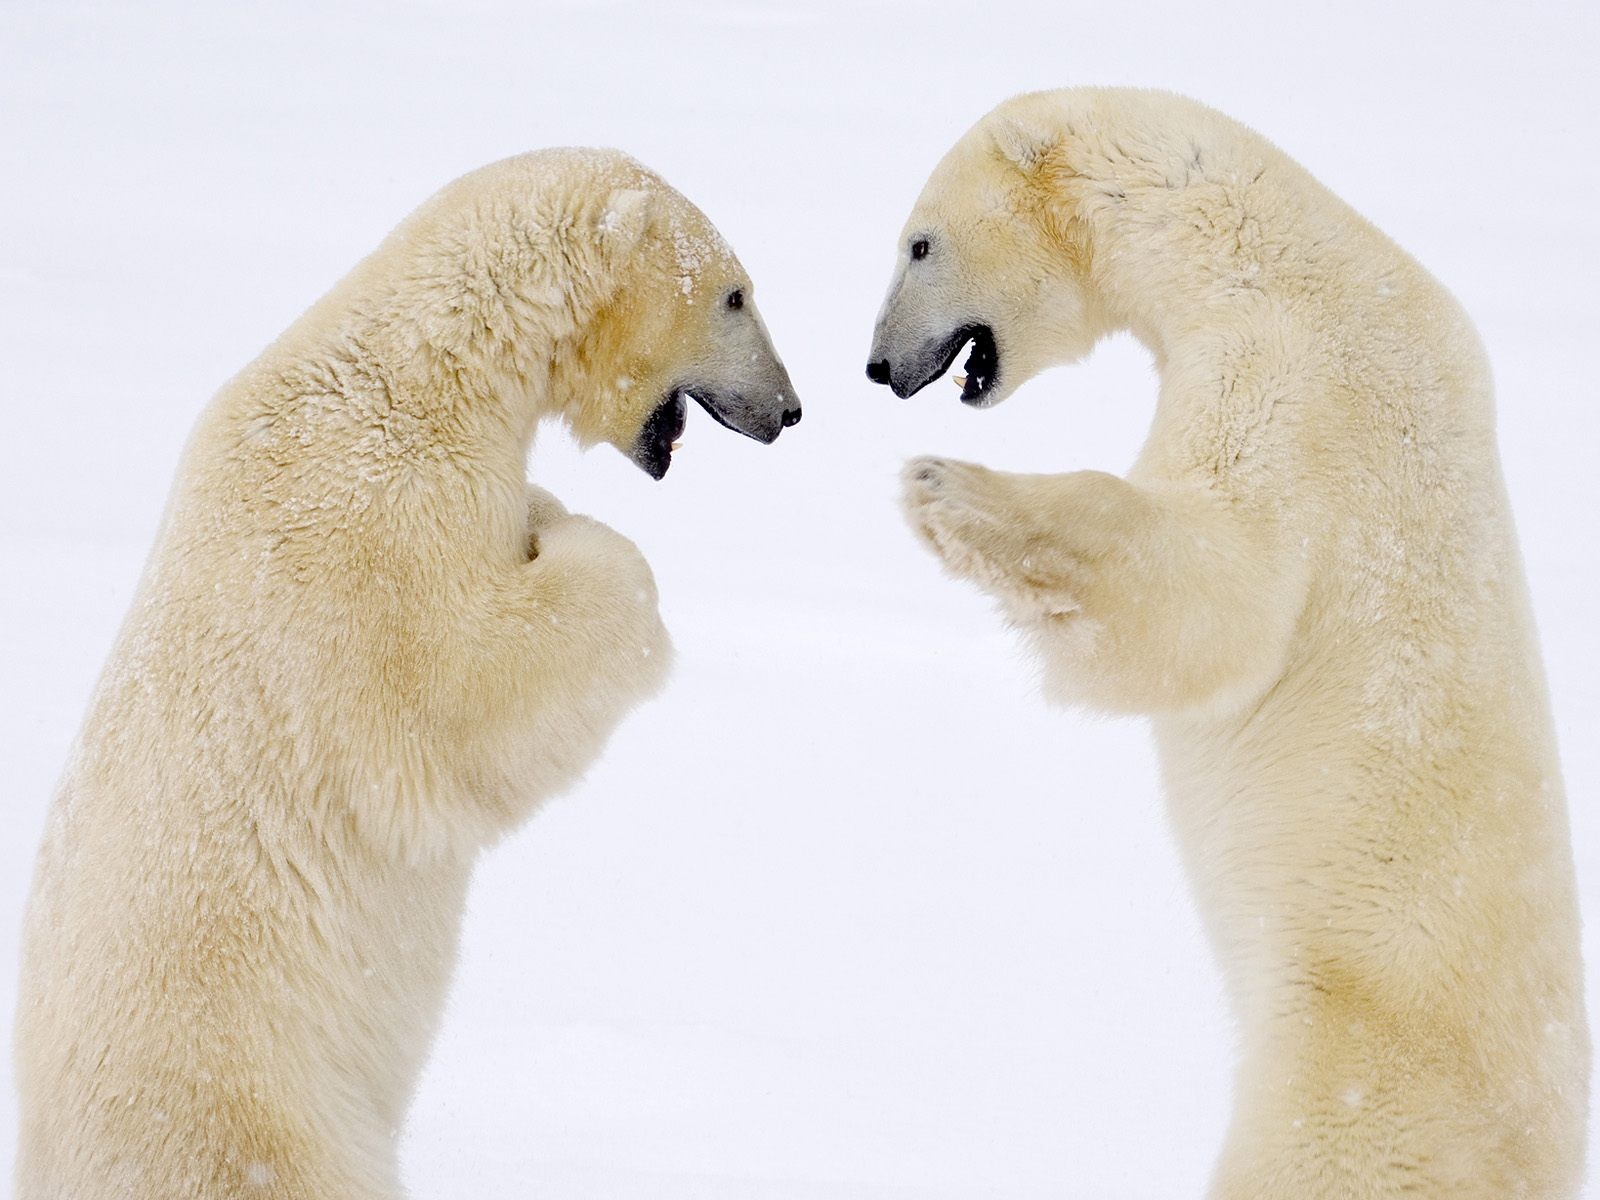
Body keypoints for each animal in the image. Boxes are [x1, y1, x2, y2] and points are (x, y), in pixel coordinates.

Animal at [14, 148, 798, 1200]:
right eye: (734, 295)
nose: (789, 410)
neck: (424, 370)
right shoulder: (374, 526)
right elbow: (464, 694)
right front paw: (580, 543)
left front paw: (545, 510)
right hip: (254, 1121)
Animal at [866, 89, 1587, 1198]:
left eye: (918, 242)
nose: (877, 366)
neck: (1265, 247)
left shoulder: (1295, 379)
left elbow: (1220, 597)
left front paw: (950, 490)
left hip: (1355, 1078)